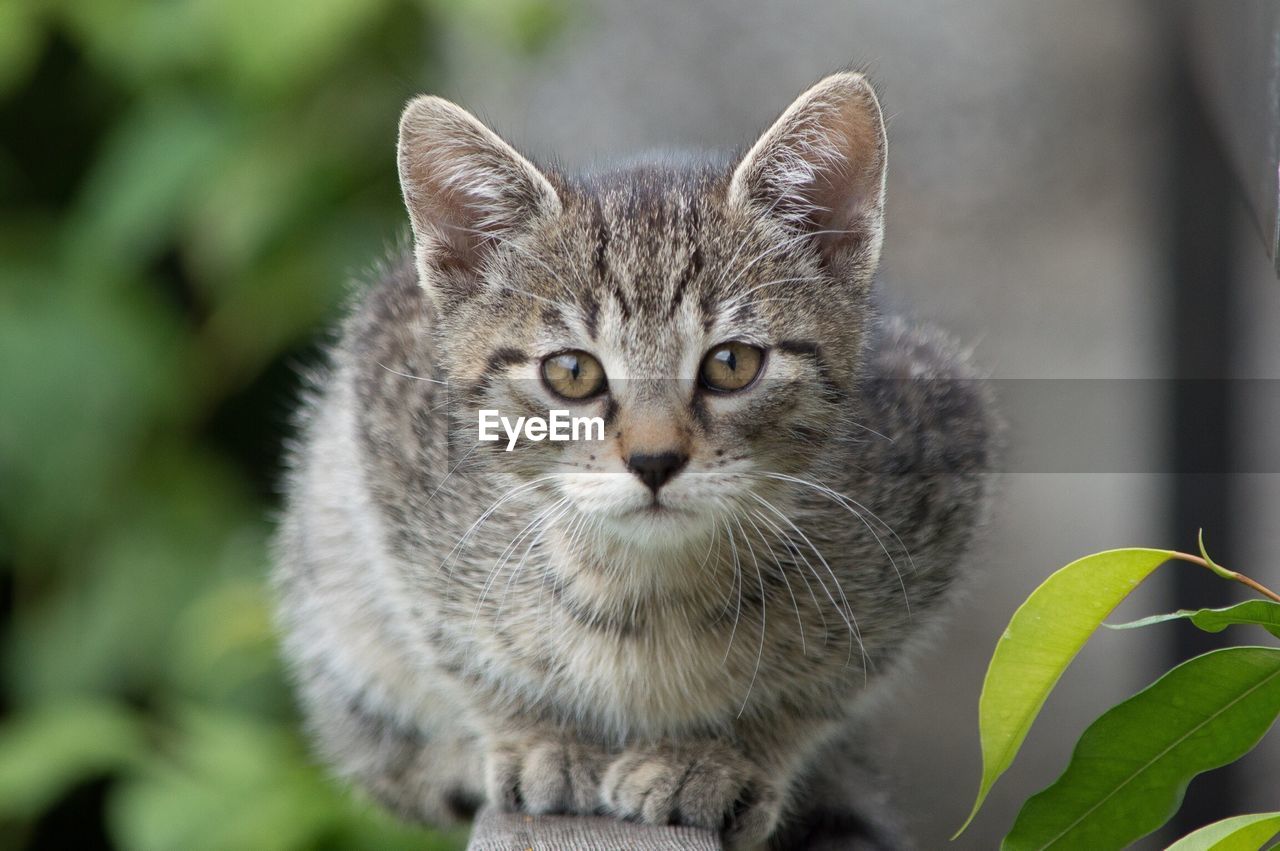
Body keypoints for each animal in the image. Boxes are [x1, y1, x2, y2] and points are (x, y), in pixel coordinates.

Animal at [275, 74, 998, 849]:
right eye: (571, 373)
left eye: (732, 364)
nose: (654, 460)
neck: (652, 591)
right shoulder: (385, 443)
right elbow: (453, 645)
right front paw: (539, 738)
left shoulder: (939, 459)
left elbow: (822, 688)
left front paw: (720, 755)